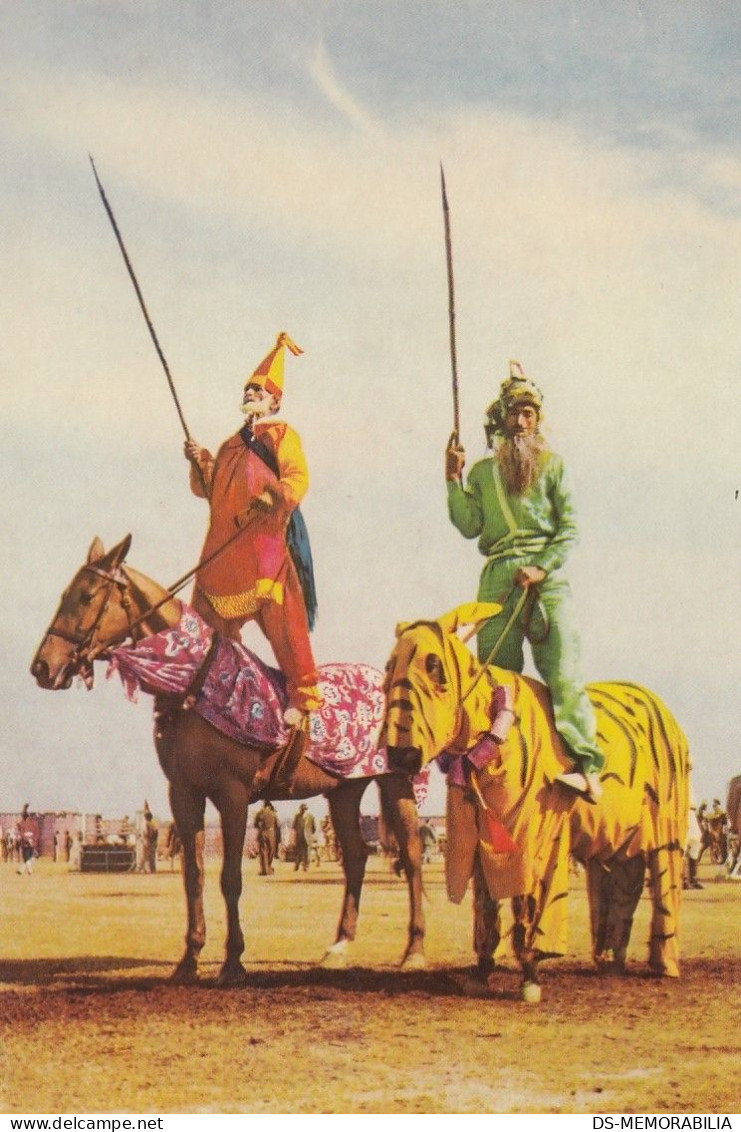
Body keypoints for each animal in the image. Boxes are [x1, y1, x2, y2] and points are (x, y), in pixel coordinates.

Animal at [31, 534, 425, 987]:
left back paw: (413, 950)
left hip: (397, 782)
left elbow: (230, 879)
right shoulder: (184, 794)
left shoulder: (233, 796)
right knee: (357, 858)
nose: (42, 667)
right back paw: (338, 947)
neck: (197, 683)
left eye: (86, 595)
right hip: (343, 791)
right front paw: (189, 959)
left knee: (411, 855)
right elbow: (194, 876)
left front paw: (232, 960)